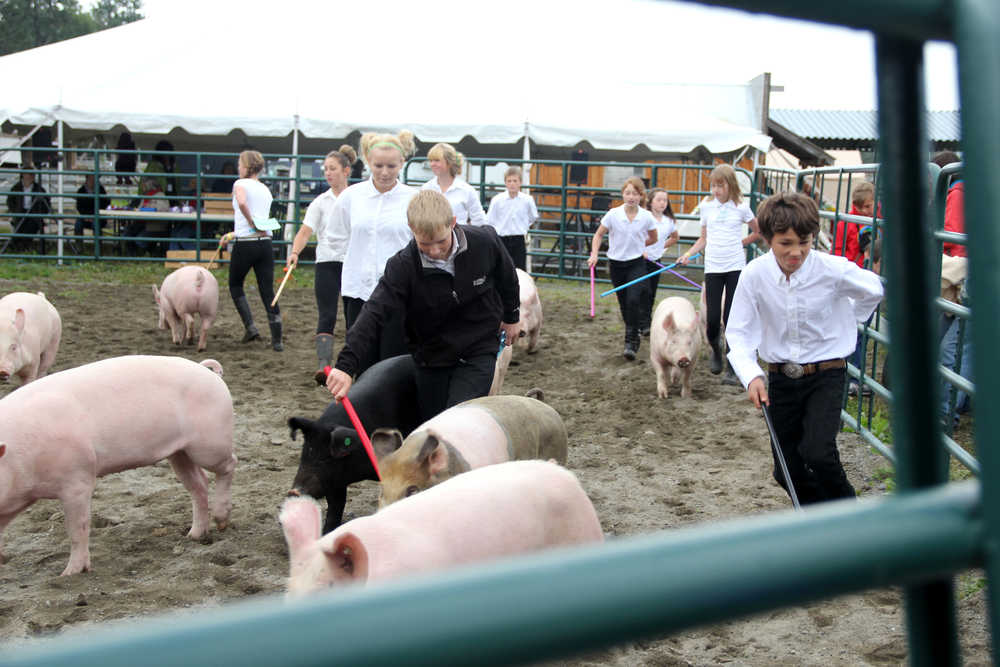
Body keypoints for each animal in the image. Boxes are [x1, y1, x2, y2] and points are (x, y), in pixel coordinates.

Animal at [0, 352, 236, 576]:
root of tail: (207, 371)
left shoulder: (78, 479)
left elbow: (77, 529)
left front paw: (68, 574)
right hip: (179, 453)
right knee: (199, 484)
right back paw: (193, 535)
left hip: (209, 444)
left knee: (229, 465)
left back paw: (221, 521)